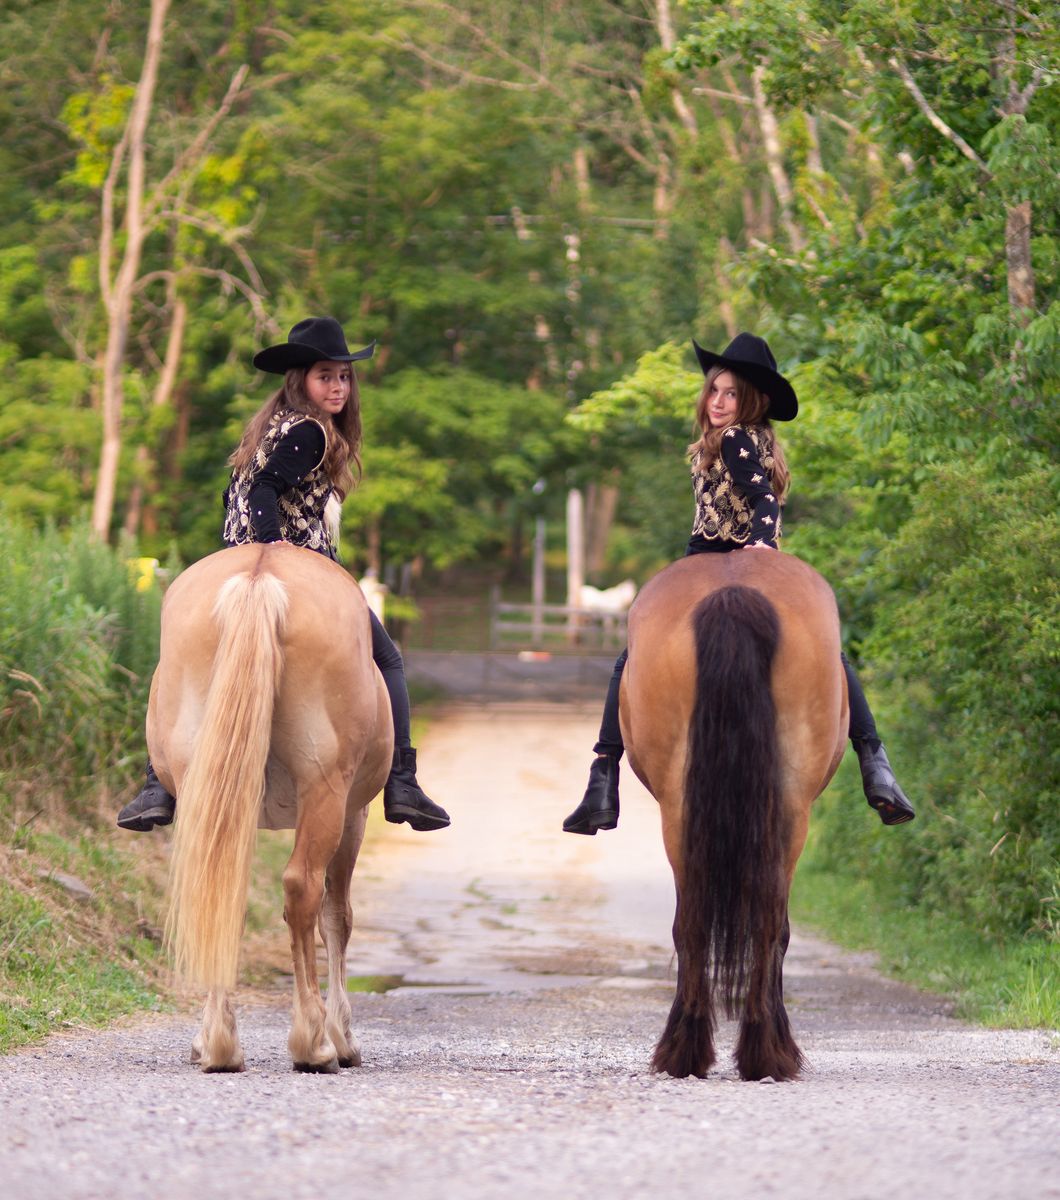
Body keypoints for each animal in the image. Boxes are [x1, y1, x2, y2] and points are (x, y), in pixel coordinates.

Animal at [148, 542, 393, 1070]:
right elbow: (337, 917)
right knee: (303, 890)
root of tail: (258, 577)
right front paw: (343, 1035)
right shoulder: (354, 815)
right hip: (326, 790)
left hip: (205, 788)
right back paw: (314, 1043)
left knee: (215, 891)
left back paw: (219, 1044)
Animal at [619, 552, 845, 1089]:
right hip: (787, 811)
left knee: (698, 920)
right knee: (763, 922)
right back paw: (755, 1052)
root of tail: (733, 593)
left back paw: (705, 1048)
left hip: (686, 809)